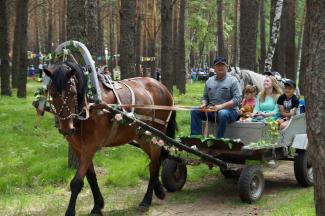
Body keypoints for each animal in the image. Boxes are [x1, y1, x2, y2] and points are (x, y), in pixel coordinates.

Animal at [43, 61, 176, 215]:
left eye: (72, 93)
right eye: (52, 93)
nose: (66, 128)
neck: (89, 105)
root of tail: (162, 87)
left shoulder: (90, 147)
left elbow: (77, 181)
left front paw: (70, 211)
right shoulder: (77, 148)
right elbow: (91, 177)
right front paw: (97, 205)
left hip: (156, 134)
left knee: (154, 165)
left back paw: (146, 200)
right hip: (143, 136)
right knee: (156, 160)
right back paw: (159, 190)